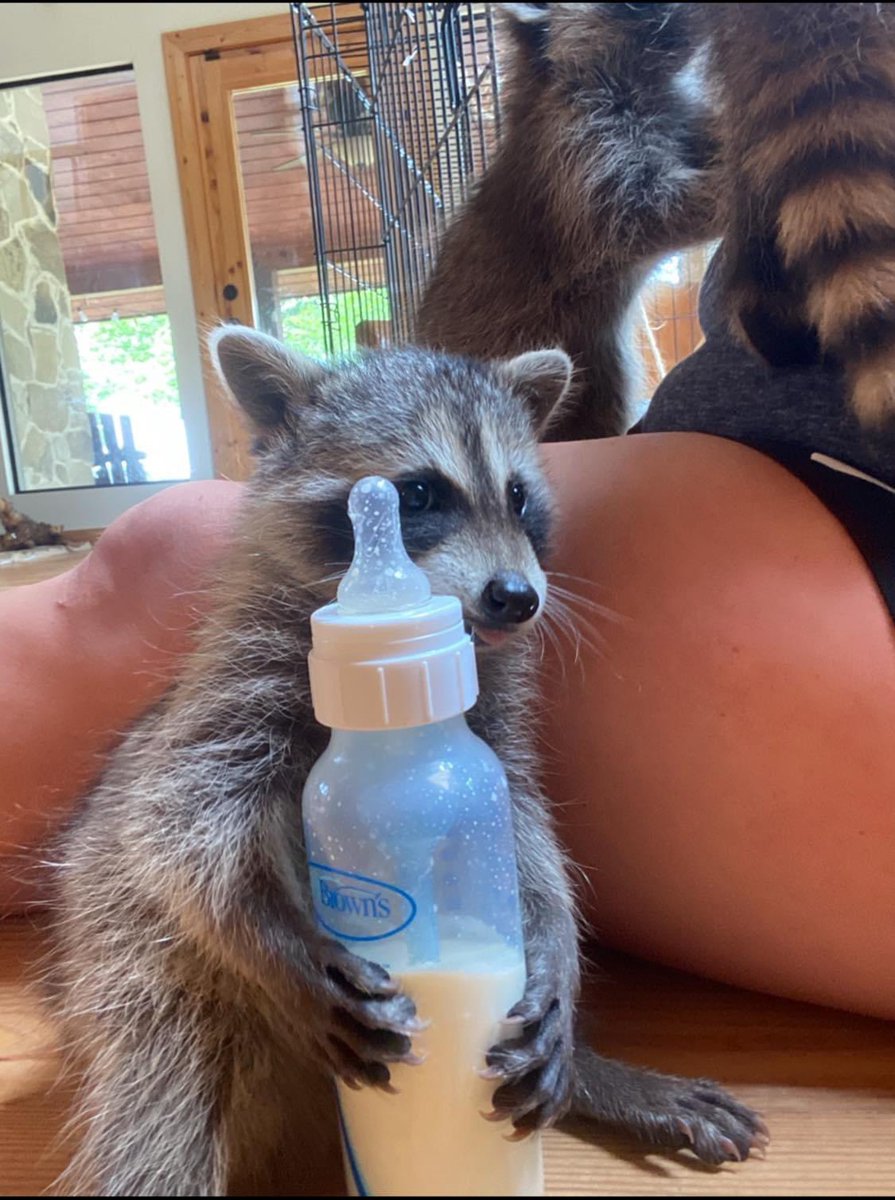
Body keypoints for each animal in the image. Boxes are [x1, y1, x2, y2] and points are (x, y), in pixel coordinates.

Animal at [46, 331, 765, 1194]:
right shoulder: (235, 695)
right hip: (142, 975)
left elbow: (528, 843)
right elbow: (180, 826)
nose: (516, 596)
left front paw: (557, 958)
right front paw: (278, 938)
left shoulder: (496, 732)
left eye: (518, 497)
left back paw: (588, 1073)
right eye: (417, 495)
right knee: (156, 1122)